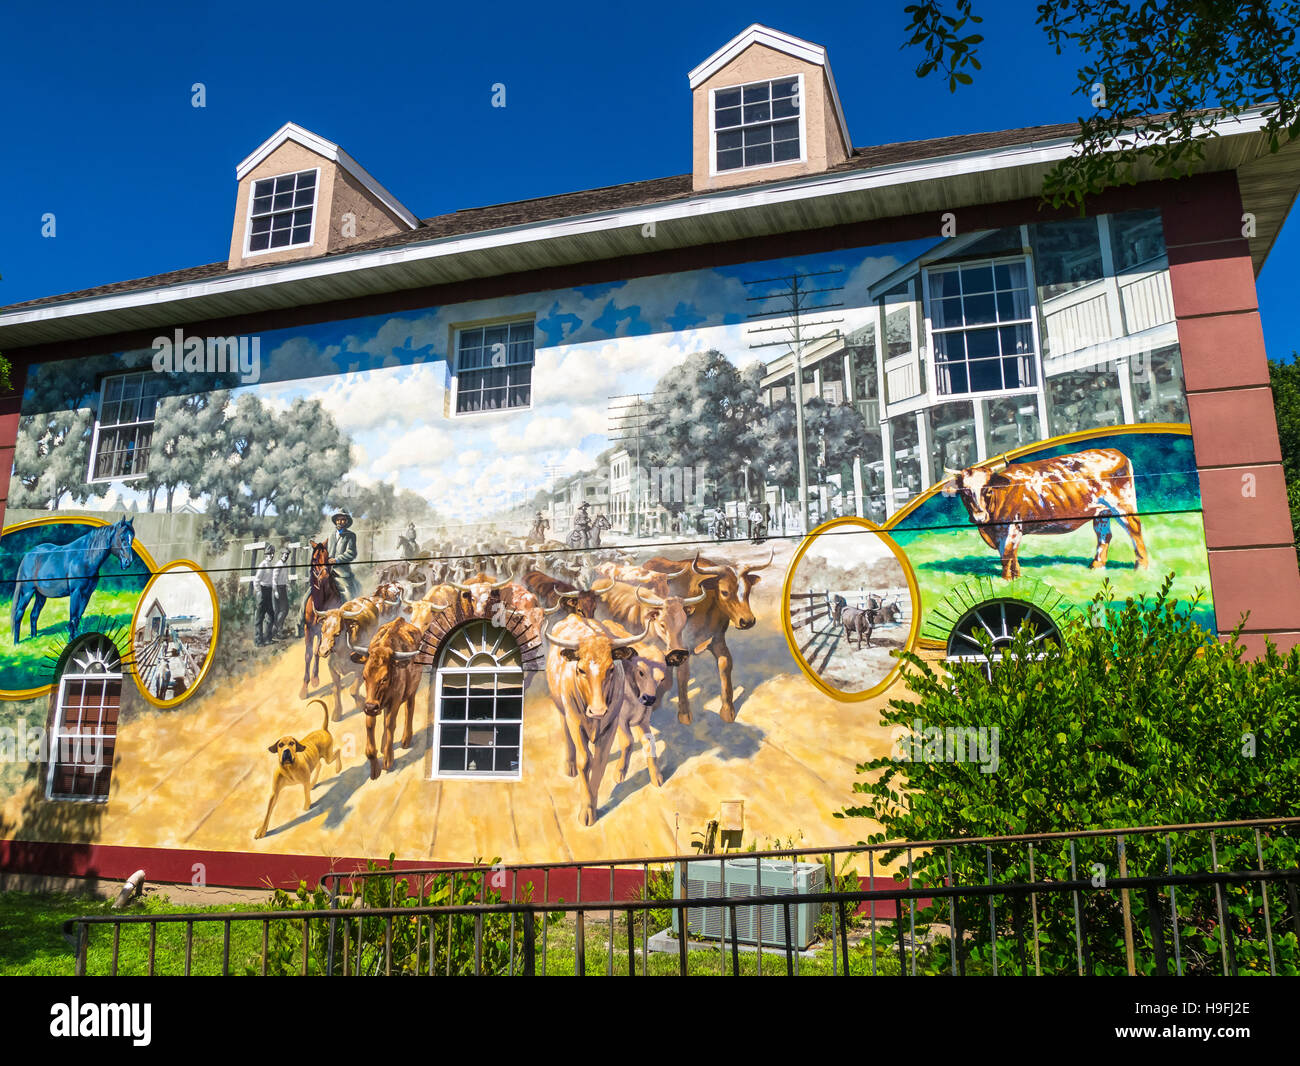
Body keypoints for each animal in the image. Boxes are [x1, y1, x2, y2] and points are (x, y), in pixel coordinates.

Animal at [11, 514, 137, 642]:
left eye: (132, 537)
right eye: (122, 537)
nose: (128, 562)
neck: (85, 558)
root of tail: (28, 556)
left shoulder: (86, 594)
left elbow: (78, 617)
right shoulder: (76, 592)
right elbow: (73, 618)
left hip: (41, 596)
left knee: (34, 614)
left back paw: (34, 638)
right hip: (27, 592)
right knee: (19, 613)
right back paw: (16, 643)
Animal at [253, 702, 340, 842]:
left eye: (292, 743)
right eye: (280, 745)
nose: (286, 751)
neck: (289, 768)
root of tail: (323, 729)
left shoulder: (304, 781)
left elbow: (306, 793)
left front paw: (307, 805)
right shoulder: (274, 793)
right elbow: (268, 812)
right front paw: (262, 830)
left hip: (328, 756)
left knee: (337, 752)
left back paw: (338, 768)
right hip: (319, 759)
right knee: (319, 765)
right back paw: (314, 782)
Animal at [299, 540, 345, 702]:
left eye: (327, 557)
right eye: (314, 559)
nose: (324, 575)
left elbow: (318, 652)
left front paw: (314, 679)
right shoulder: (309, 629)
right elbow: (308, 654)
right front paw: (304, 689)